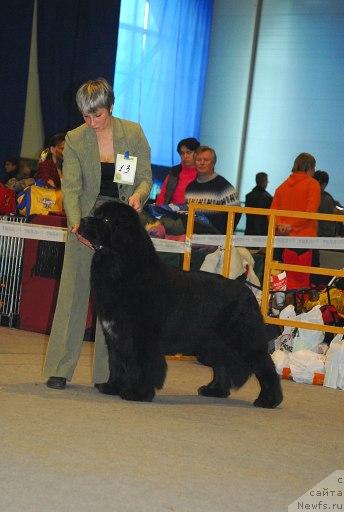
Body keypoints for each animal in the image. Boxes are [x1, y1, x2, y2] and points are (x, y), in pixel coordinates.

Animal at [80, 200, 282, 408]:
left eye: (105, 220)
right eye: (95, 214)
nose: (82, 220)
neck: (121, 266)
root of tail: (243, 286)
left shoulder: (144, 338)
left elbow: (144, 366)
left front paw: (138, 393)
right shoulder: (116, 336)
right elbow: (117, 363)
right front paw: (112, 387)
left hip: (244, 340)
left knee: (266, 367)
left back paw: (269, 400)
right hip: (213, 344)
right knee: (222, 365)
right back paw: (214, 390)